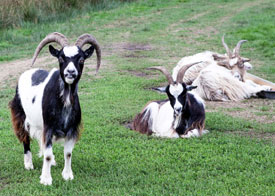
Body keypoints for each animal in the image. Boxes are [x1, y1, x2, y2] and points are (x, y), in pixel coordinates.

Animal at [9, 32, 103, 185]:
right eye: (61, 58)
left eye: (81, 59)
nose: (70, 72)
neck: (64, 100)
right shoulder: (48, 127)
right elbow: (47, 154)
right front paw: (46, 179)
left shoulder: (71, 129)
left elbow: (68, 153)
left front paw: (67, 175)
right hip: (20, 115)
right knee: (25, 138)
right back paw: (28, 164)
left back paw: (51, 162)